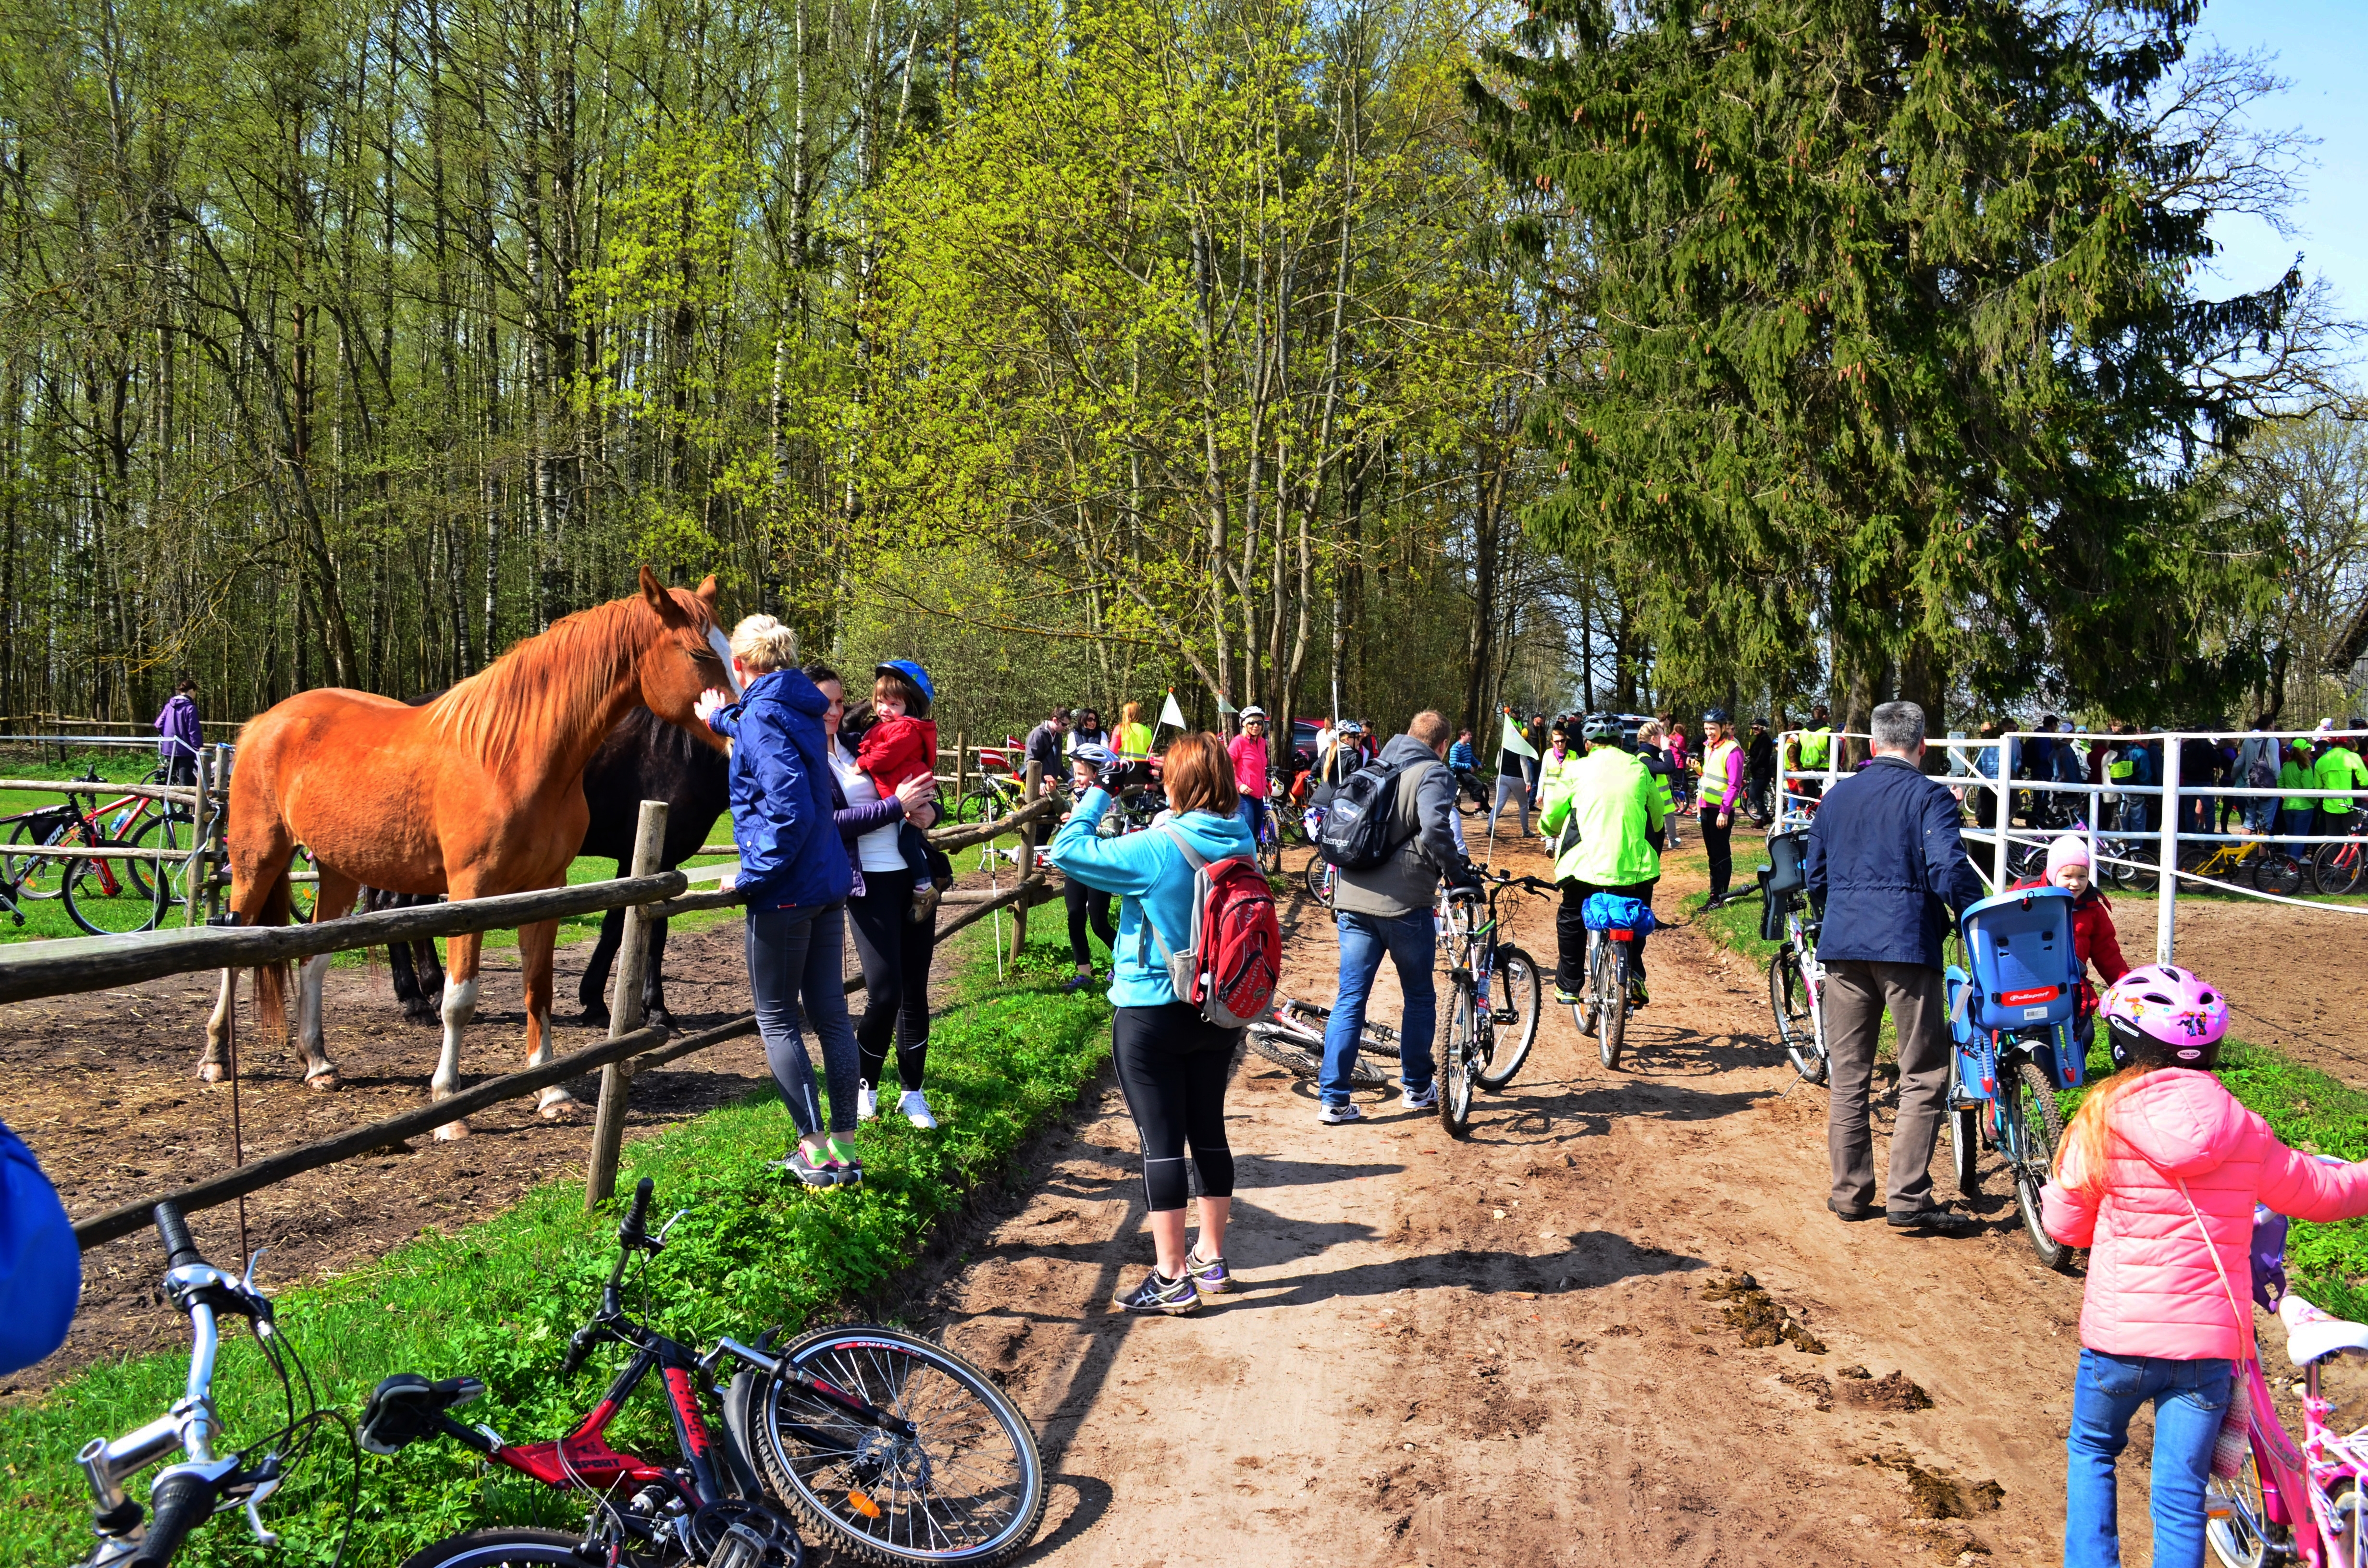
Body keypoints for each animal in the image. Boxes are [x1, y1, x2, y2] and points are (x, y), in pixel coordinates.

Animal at [208, 571, 734, 1137]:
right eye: (699, 653)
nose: (739, 721)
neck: (513, 757)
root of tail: (263, 722)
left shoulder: (548, 889)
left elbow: (538, 988)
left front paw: (552, 1094)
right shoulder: (470, 891)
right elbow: (460, 1000)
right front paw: (448, 1105)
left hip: (339, 870)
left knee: (313, 958)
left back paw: (319, 1063)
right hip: (258, 859)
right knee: (234, 945)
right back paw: (216, 1057)